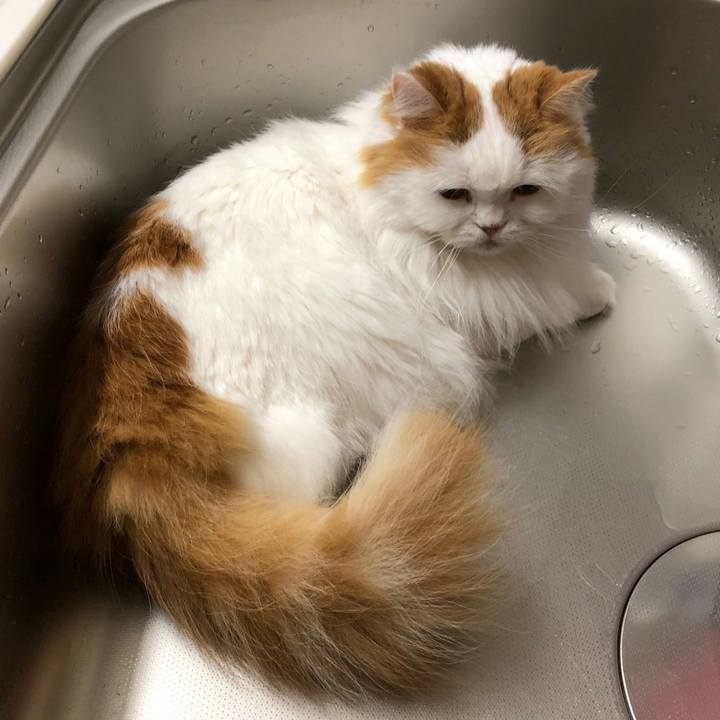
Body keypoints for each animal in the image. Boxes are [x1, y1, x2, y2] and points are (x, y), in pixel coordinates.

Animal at [54, 43, 615, 699]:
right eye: (455, 194)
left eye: (525, 190)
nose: (492, 228)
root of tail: (130, 455)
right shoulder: (475, 311)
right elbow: (549, 299)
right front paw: (597, 290)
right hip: (318, 430)